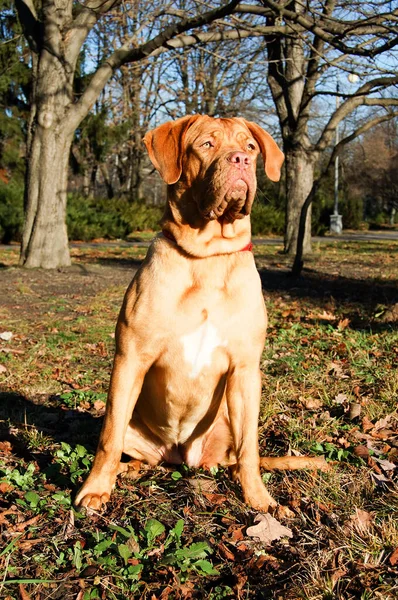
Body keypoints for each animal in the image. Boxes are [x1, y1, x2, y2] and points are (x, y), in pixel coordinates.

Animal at [75, 113, 326, 510]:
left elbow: (250, 450)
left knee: (235, 456)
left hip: (225, 422)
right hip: (135, 423)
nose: (241, 160)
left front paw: (259, 499)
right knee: (132, 450)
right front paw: (96, 487)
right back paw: (125, 471)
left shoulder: (245, 369)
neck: (207, 256)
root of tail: (178, 454)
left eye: (250, 147)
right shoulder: (130, 359)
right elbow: (108, 439)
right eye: (206, 145)